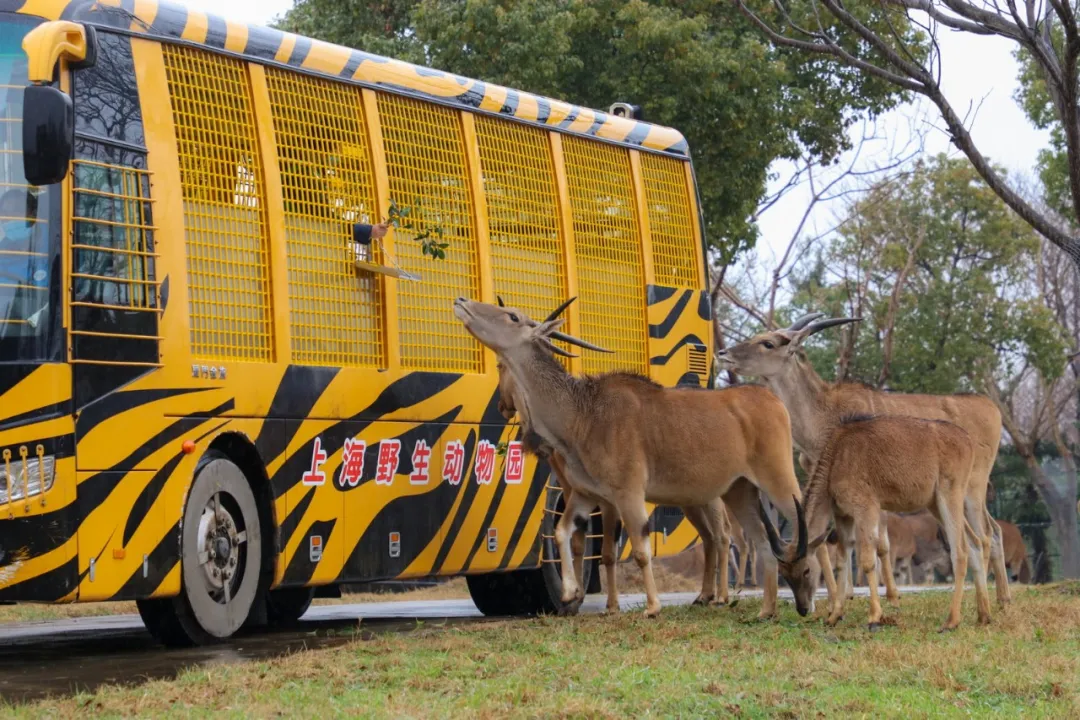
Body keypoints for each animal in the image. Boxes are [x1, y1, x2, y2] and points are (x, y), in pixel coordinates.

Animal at [451, 297, 838, 621]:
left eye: (512, 316)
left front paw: (651, 607)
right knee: (760, 542)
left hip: (777, 480)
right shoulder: (588, 495)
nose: (462, 301)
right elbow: (563, 533)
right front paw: (571, 593)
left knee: (809, 534)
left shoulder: (628, 493)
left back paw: (829, 606)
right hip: (739, 490)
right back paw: (766, 611)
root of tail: (772, 400)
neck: (583, 413)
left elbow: (639, 550)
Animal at [760, 414, 989, 634]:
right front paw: (834, 616)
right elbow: (843, 561)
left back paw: (951, 621)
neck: (837, 455)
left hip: (948, 496)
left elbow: (868, 561)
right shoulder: (844, 516)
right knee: (975, 543)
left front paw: (874, 617)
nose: (803, 609)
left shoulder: (866, 508)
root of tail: (967, 440)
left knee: (960, 550)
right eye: (783, 574)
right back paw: (983, 616)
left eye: (806, 570)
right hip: (934, 504)